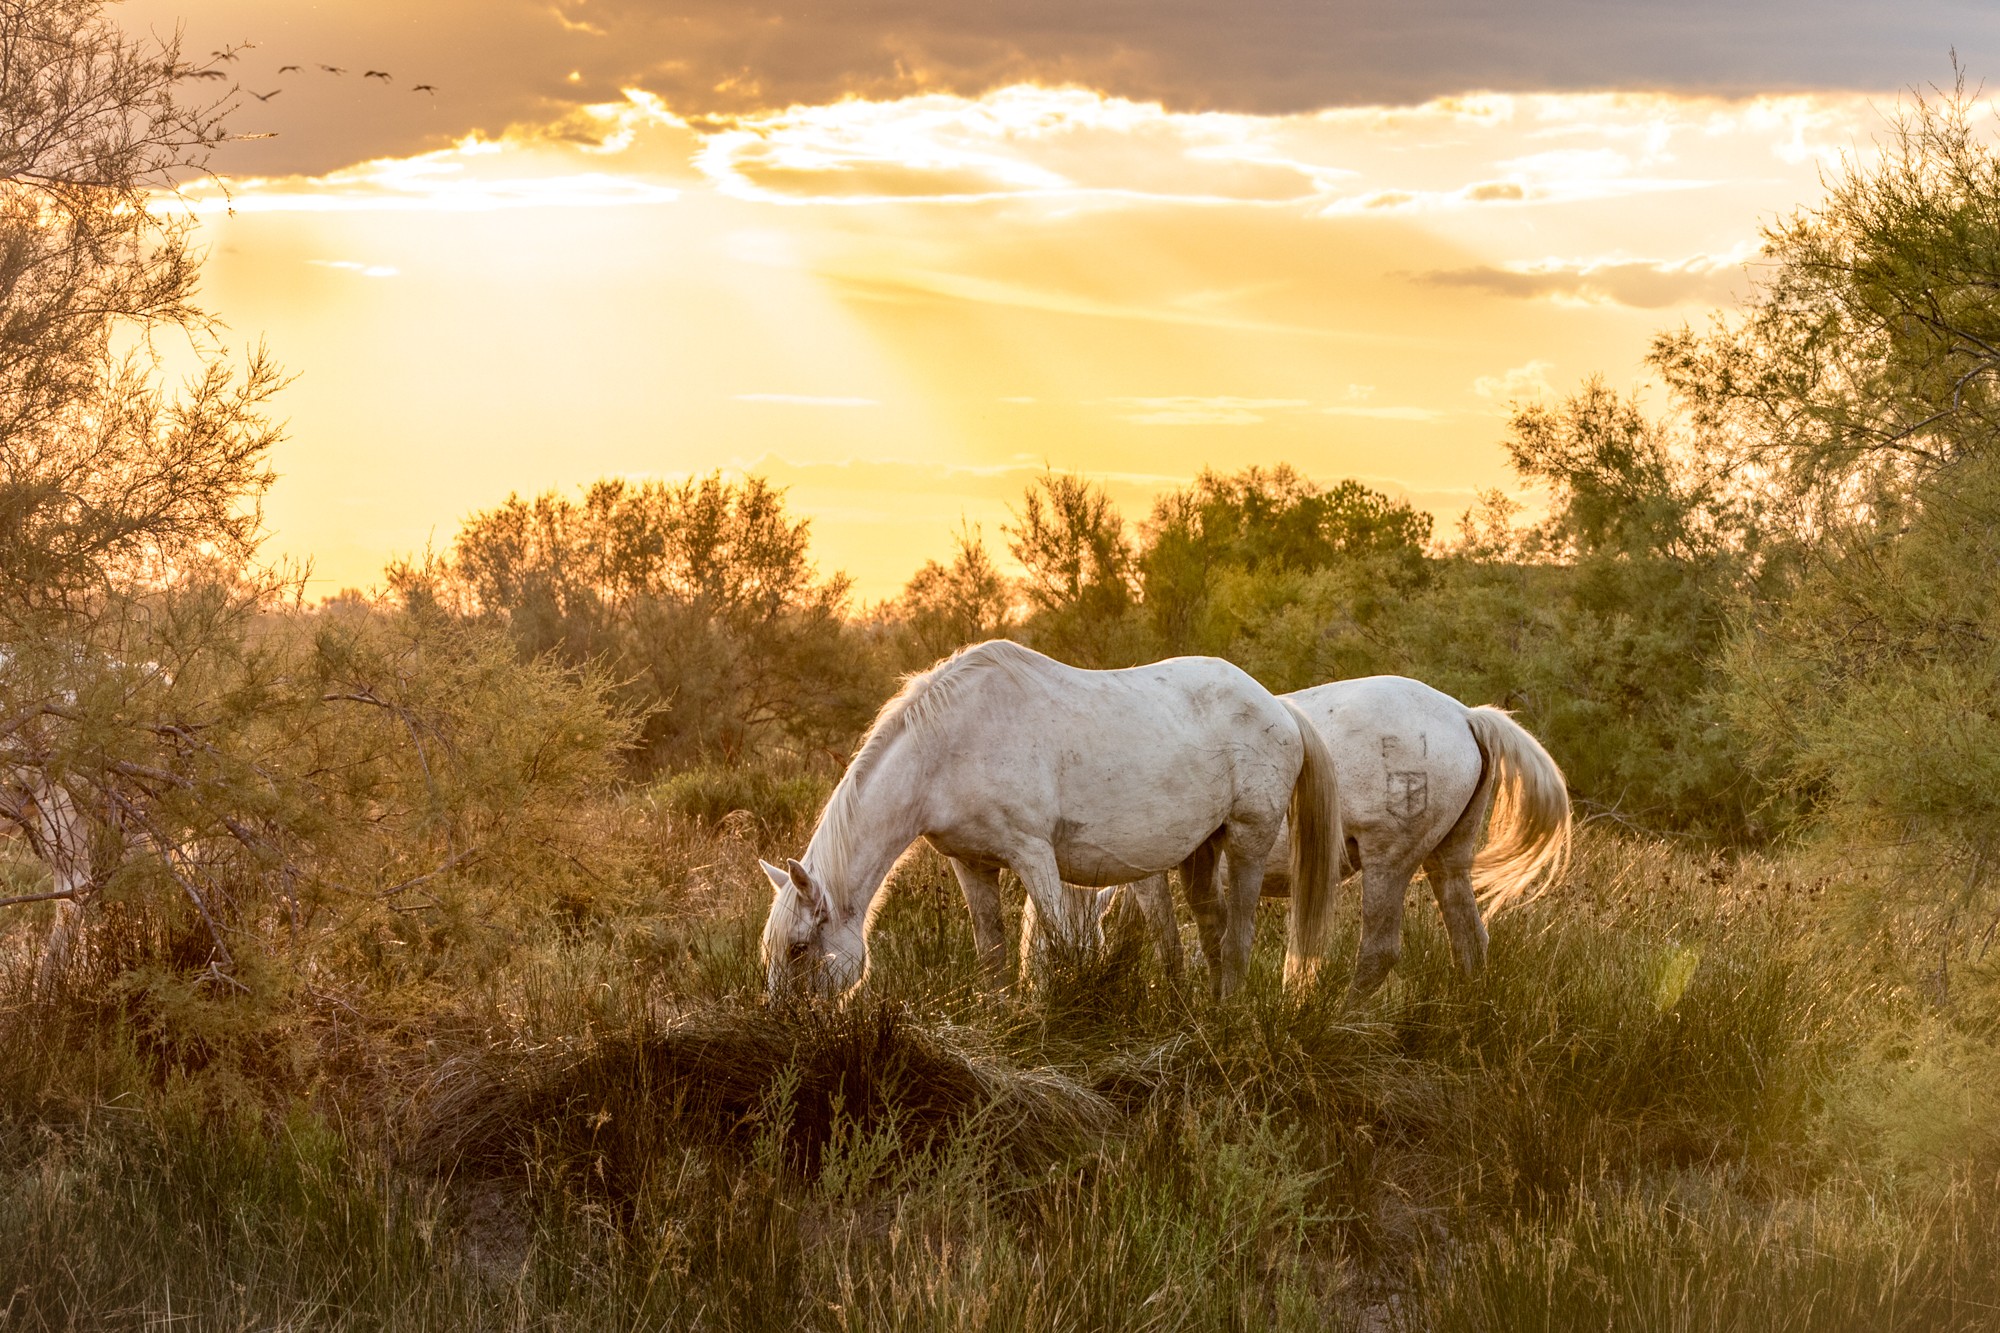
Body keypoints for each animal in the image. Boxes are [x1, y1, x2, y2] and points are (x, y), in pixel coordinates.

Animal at [760, 640, 1344, 992]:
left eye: (798, 949)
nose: (782, 1027)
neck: (949, 744)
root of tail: (1280, 708)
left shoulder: (1034, 856)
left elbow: (1061, 948)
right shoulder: (973, 865)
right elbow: (992, 955)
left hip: (1248, 842)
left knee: (1238, 937)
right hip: (1201, 852)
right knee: (1212, 932)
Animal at [1056, 676, 1568, 996]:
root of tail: (1464, 715)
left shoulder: (1148, 875)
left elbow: (1164, 943)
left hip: (1389, 863)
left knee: (1379, 952)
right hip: (1447, 863)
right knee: (1469, 941)